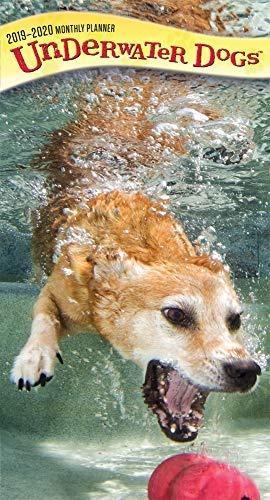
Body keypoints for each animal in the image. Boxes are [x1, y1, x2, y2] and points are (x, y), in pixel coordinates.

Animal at [10, 1, 260, 442]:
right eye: (175, 315)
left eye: (235, 320)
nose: (247, 370)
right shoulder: (62, 284)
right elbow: (43, 314)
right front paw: (34, 357)